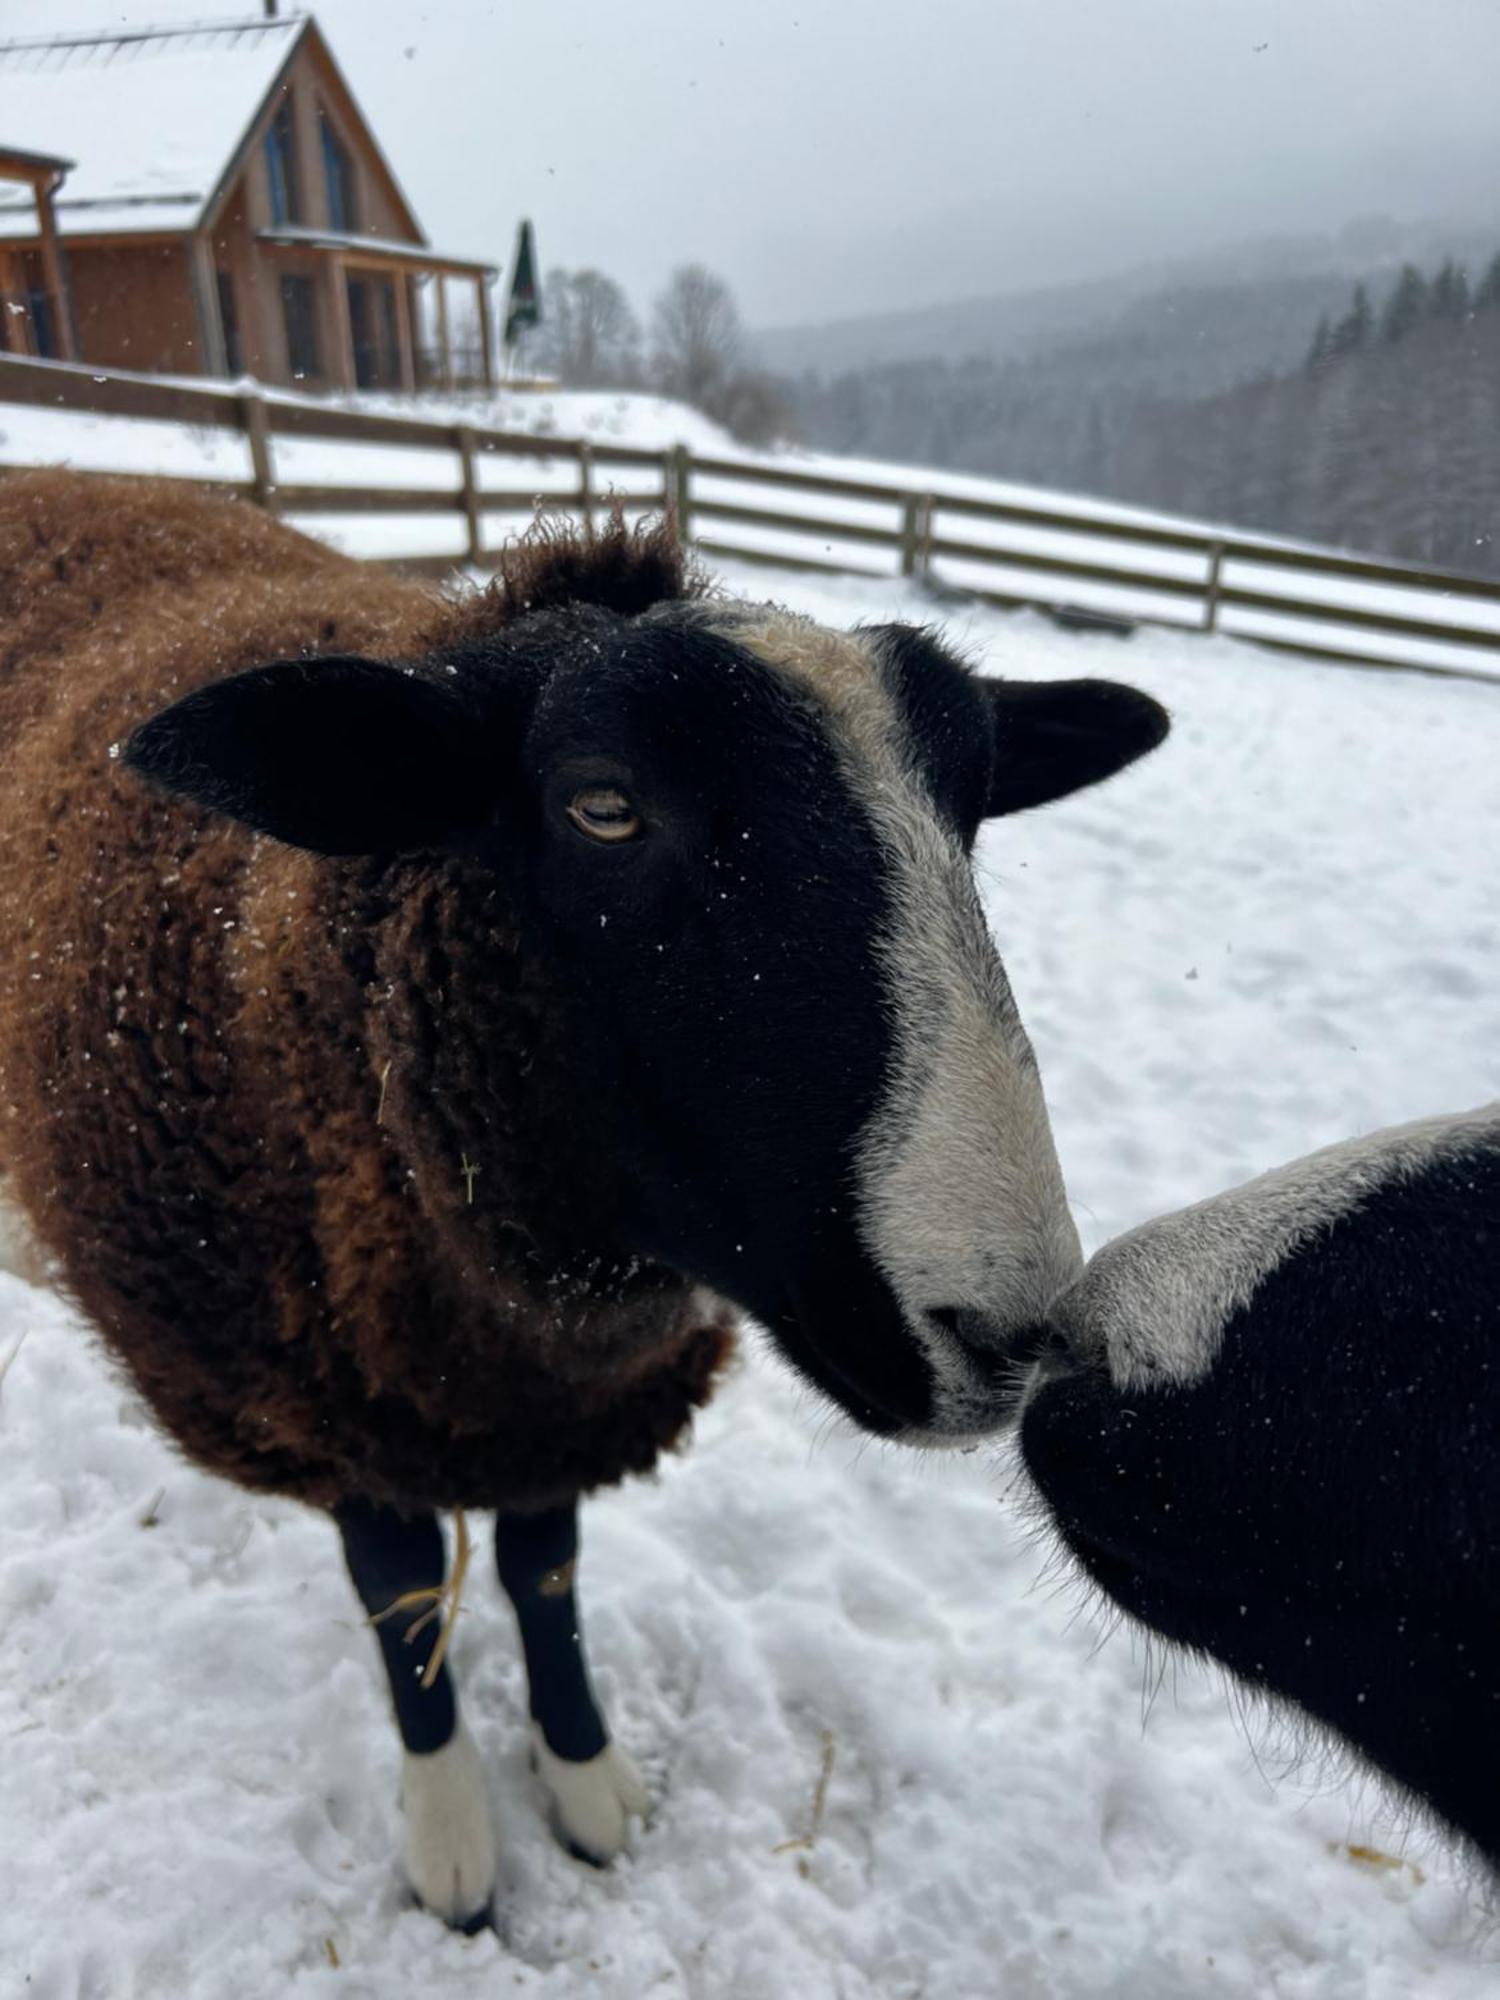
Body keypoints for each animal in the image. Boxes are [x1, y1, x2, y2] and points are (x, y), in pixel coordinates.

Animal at [0, 468, 1176, 1920]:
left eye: (971, 815)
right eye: (603, 807)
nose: (1011, 1336)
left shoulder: (553, 1407)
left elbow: (543, 1566)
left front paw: (583, 1774)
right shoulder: (326, 1396)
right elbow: (404, 1592)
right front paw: (451, 1831)